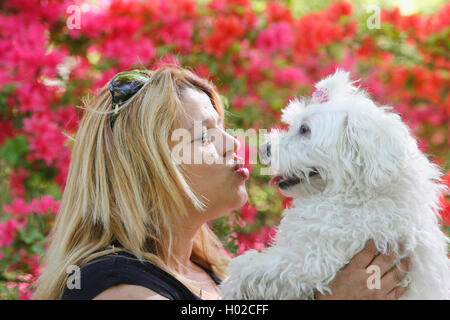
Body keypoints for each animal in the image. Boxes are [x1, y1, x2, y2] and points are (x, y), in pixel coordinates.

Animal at [221, 70, 450, 300]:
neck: (352, 196)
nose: (265, 148)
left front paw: (234, 283)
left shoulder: (315, 259)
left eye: (305, 129)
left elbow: (259, 269)